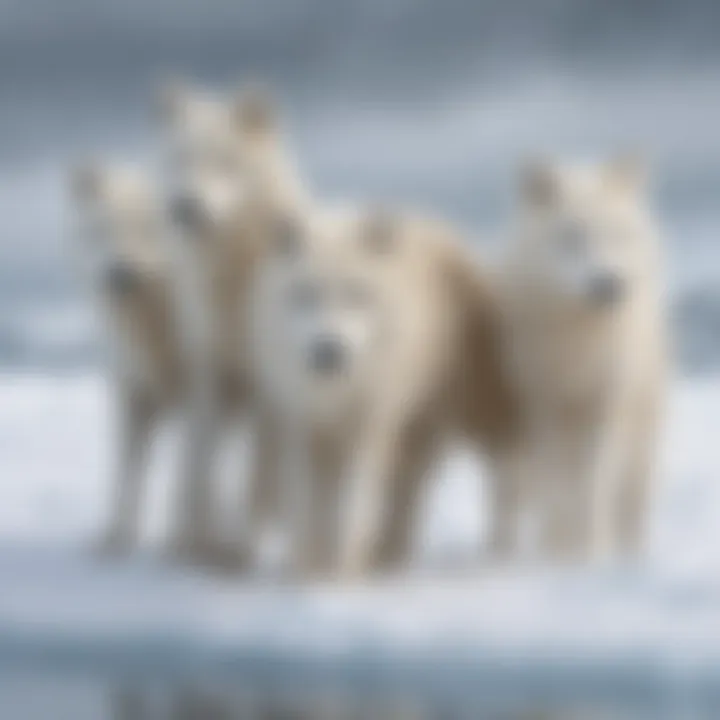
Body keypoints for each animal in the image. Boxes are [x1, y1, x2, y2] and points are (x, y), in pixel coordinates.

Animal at [498, 156, 668, 564]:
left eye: (618, 235)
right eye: (572, 238)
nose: (609, 285)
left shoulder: (602, 409)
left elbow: (590, 490)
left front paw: (590, 553)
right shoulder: (539, 412)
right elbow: (558, 492)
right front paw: (563, 552)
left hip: (641, 443)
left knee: (629, 509)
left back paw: (630, 557)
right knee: (513, 503)